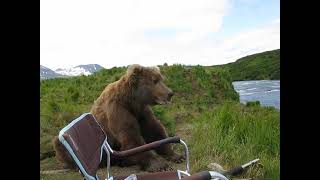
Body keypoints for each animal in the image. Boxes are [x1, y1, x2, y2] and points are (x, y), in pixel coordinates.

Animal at [53, 64, 184, 172]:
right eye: (154, 81)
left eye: (161, 79)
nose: (170, 93)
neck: (131, 100)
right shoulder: (118, 110)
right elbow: (131, 137)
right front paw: (159, 165)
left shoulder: (141, 112)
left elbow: (154, 130)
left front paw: (176, 155)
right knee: (59, 144)